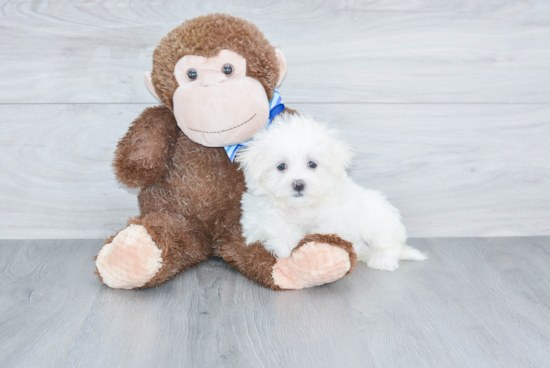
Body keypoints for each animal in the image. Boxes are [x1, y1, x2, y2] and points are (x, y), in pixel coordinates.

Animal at [236, 113, 426, 272]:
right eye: (281, 166)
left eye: (312, 164)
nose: (298, 184)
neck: (300, 207)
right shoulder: (255, 218)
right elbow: (274, 224)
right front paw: (286, 245)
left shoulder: (338, 216)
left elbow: (326, 228)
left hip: (380, 223)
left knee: (390, 246)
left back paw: (382, 260)